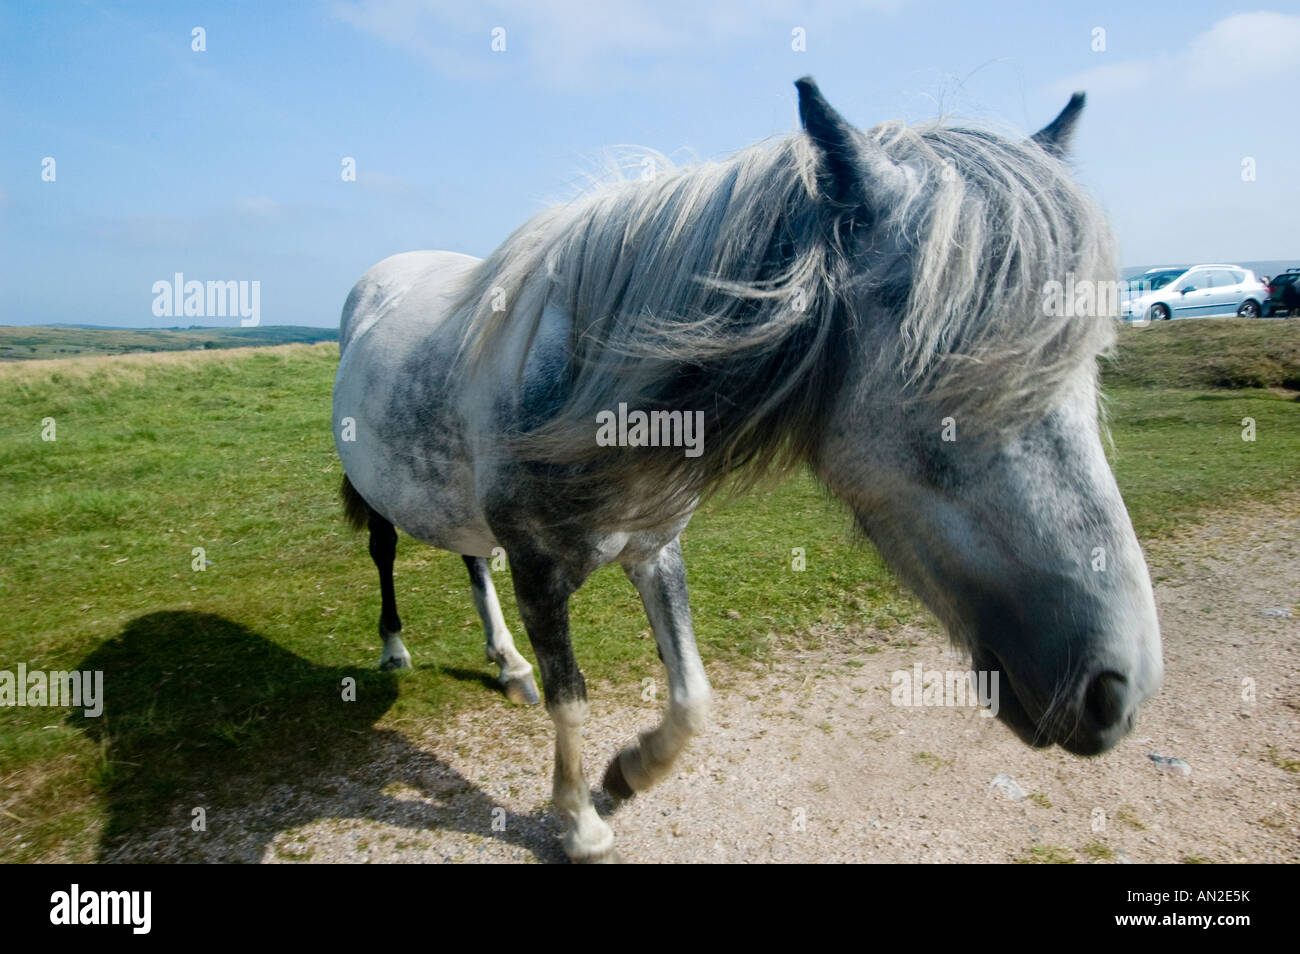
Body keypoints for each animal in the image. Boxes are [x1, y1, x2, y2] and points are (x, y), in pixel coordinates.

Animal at [332, 77, 1164, 863]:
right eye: (950, 368)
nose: (1117, 689)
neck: (585, 386)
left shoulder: (653, 549)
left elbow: (694, 694)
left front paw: (624, 776)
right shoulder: (539, 570)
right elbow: (572, 698)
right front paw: (578, 824)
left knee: (473, 559)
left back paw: (505, 663)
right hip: (379, 500)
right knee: (386, 554)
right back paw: (395, 648)